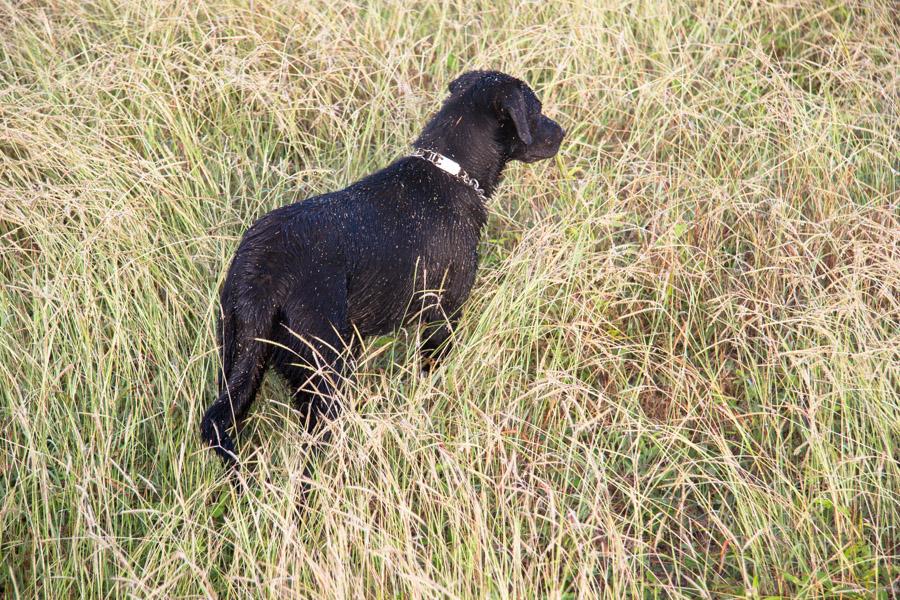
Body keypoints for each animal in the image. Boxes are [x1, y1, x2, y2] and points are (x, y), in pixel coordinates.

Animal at [200, 70, 564, 472]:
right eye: (536, 110)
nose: (562, 132)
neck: (450, 173)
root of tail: (261, 273)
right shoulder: (444, 315)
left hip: (241, 355)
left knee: (218, 421)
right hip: (324, 369)